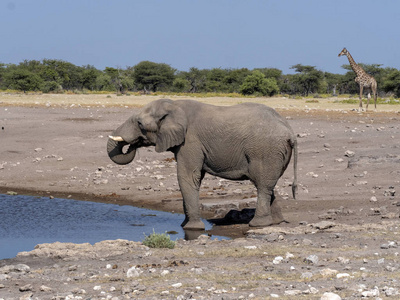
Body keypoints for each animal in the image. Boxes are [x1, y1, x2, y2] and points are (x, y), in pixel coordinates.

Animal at [108, 98, 298, 230]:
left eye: (140, 124)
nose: (132, 144)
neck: (174, 105)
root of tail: (290, 131)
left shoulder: (190, 141)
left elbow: (187, 176)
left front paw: (192, 228)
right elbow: (194, 178)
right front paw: (184, 225)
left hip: (265, 150)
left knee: (262, 185)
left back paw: (258, 224)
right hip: (275, 153)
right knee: (268, 184)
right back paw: (275, 222)